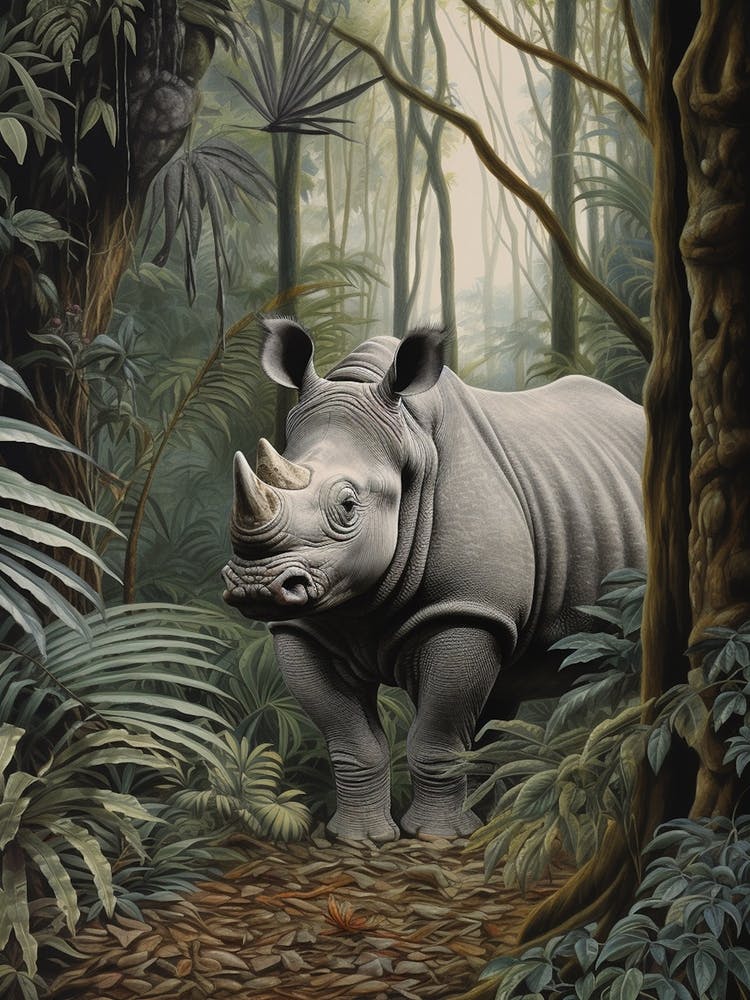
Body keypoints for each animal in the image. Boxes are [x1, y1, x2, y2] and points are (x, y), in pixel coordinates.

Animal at [222, 319, 646, 842]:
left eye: (348, 506)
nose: (256, 584)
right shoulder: (302, 627)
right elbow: (351, 739)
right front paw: (360, 838)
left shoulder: (466, 610)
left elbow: (437, 736)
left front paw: (437, 838)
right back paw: (486, 822)